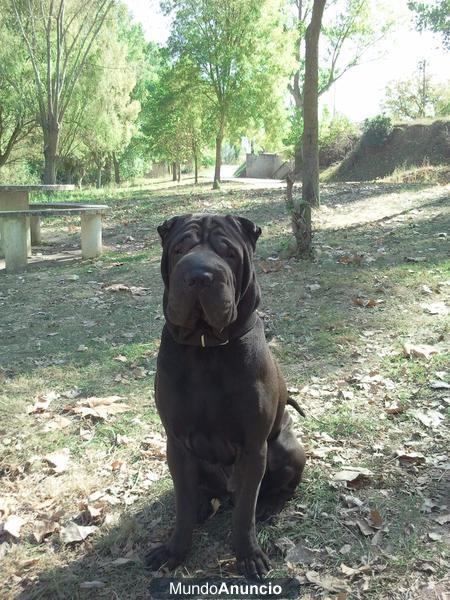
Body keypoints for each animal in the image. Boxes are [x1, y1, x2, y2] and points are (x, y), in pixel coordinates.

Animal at [148, 213, 306, 580]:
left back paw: (269, 508)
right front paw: (174, 550)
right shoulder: (176, 443)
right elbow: (182, 503)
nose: (199, 276)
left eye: (228, 253)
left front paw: (248, 556)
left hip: (288, 449)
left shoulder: (252, 447)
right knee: (198, 494)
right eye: (179, 249)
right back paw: (203, 507)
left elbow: (245, 511)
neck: (206, 347)